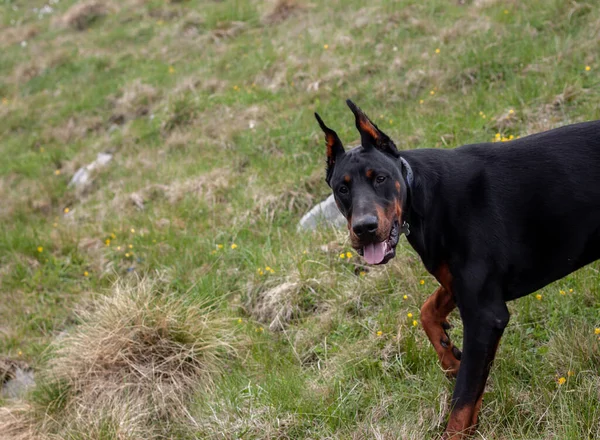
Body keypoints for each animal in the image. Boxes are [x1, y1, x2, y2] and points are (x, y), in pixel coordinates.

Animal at [314, 100, 600, 440]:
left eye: (380, 178)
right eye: (342, 188)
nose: (364, 228)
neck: (422, 196)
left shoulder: (485, 313)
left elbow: (462, 401)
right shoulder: (459, 285)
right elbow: (428, 311)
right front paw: (449, 355)